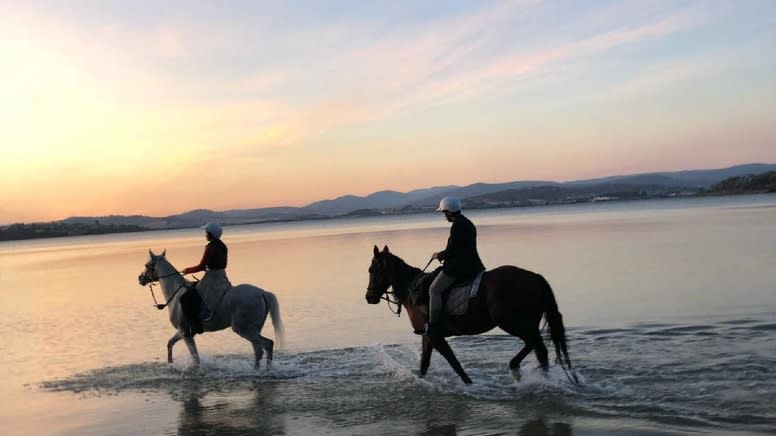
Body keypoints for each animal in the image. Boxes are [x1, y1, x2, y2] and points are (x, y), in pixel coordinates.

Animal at [139, 250, 284, 370]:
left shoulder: (185, 332)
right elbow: (170, 343)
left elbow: (195, 358)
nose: (140, 278)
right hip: (253, 329)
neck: (176, 292)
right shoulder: (182, 331)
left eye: (147, 265)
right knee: (258, 350)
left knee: (267, 344)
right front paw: (170, 363)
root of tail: (262, 293)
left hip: (244, 329)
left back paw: (267, 370)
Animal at [364, 245, 576, 384]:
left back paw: (516, 368)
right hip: (526, 323)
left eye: (372, 269)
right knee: (540, 350)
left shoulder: (435, 335)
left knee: (535, 344)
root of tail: (535, 277)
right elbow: (424, 364)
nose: (369, 297)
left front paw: (469, 385)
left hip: (513, 323)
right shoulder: (428, 336)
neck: (413, 289)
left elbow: (454, 363)